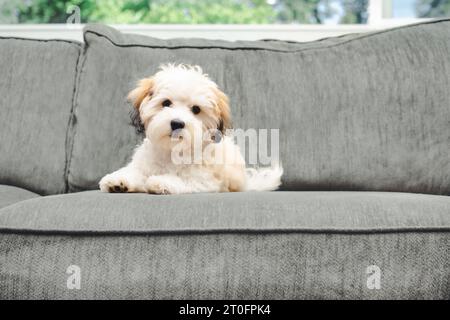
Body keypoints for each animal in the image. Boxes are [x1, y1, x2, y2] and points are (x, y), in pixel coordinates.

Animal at [99, 64, 282, 195]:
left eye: (196, 109)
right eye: (166, 103)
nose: (177, 123)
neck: (172, 151)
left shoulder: (206, 180)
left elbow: (185, 180)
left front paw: (163, 182)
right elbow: (136, 172)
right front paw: (118, 180)